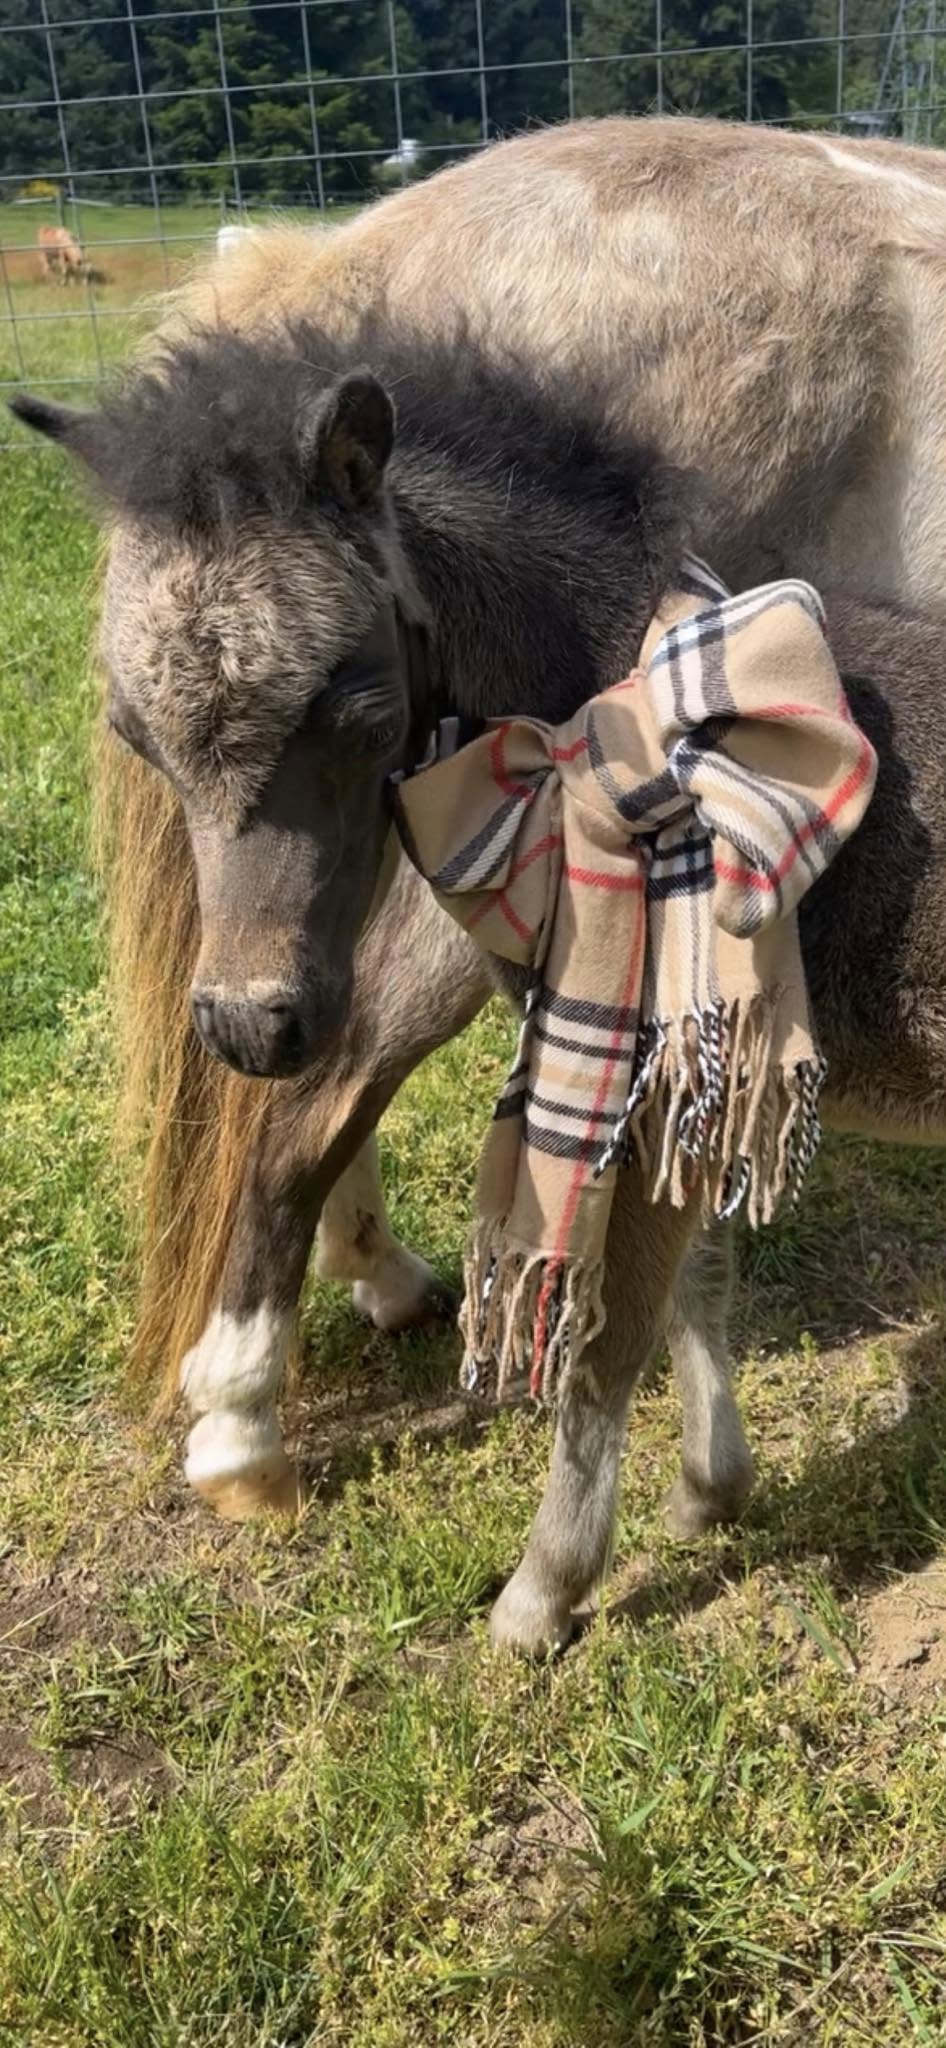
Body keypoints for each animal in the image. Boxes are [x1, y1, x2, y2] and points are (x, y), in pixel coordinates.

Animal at [11, 114, 946, 1652]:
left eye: (348, 702)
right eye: (134, 730)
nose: (244, 1022)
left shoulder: (667, 1061)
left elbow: (625, 1320)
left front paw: (554, 1583)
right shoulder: (682, 1058)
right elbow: (674, 1290)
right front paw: (682, 1505)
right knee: (318, 1098)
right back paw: (258, 1403)